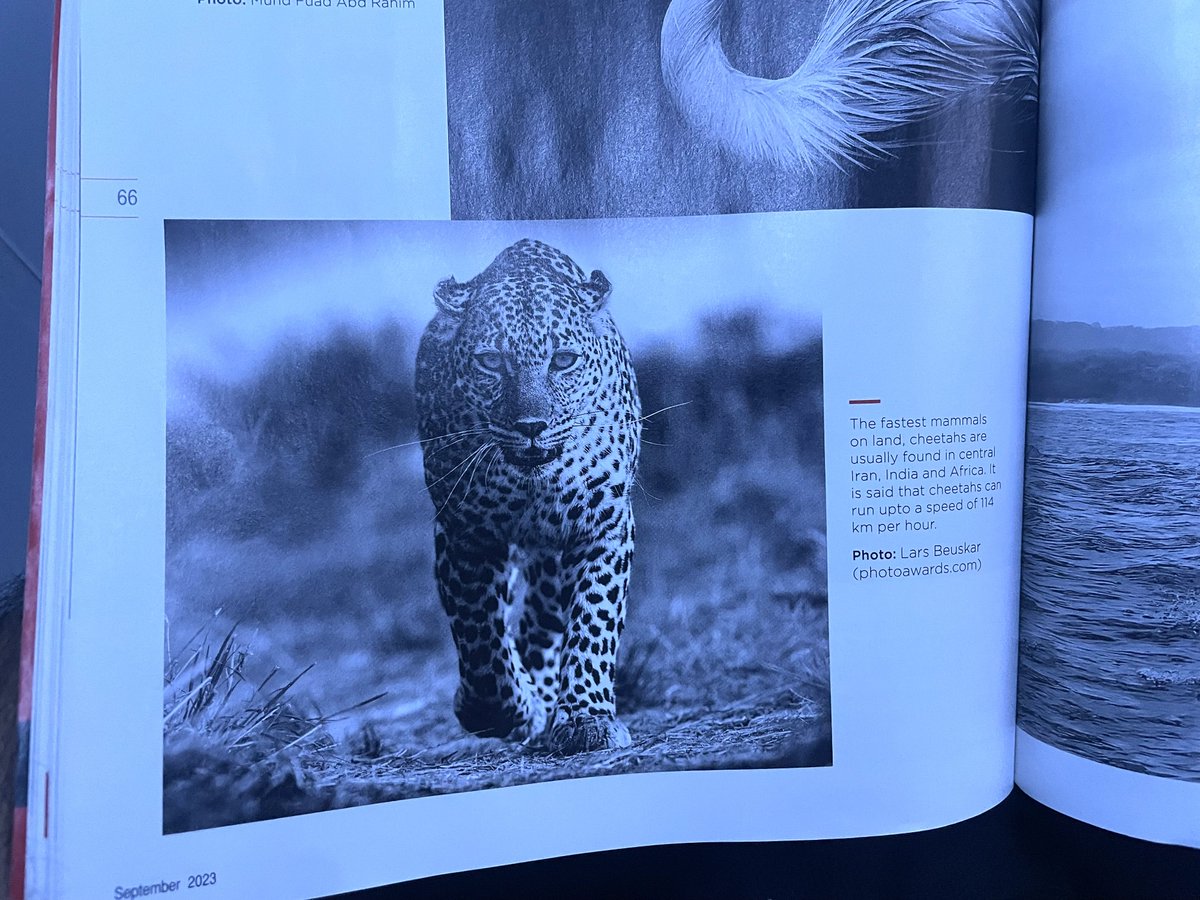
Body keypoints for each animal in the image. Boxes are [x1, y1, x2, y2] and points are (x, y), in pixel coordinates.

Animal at [414, 238, 641, 755]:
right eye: (490, 363)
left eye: (564, 360)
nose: (532, 427)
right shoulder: (466, 535)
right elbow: (479, 636)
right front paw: (493, 710)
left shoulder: (604, 525)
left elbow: (594, 621)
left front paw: (586, 718)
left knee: (546, 613)